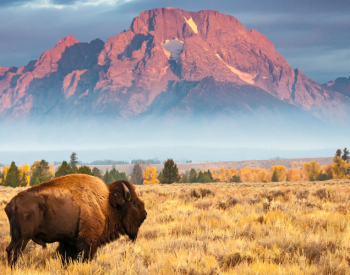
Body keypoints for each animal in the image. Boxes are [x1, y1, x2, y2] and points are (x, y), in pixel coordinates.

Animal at [4, 176, 146, 266]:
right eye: (134, 202)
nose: (145, 214)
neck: (106, 203)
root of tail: (12, 203)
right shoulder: (89, 241)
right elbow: (85, 257)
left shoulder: (69, 241)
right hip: (23, 238)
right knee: (15, 252)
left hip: (16, 237)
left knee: (9, 250)